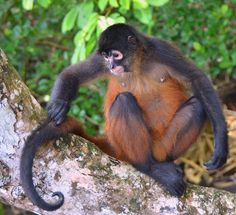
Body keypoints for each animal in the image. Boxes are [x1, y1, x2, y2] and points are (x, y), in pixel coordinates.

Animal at [20, 23, 229, 210]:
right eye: (106, 56)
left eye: (116, 55)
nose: (111, 65)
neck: (136, 65)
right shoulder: (101, 62)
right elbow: (72, 74)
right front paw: (59, 104)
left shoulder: (162, 49)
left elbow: (197, 78)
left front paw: (221, 142)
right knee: (124, 101)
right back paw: (147, 167)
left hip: (163, 146)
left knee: (197, 106)